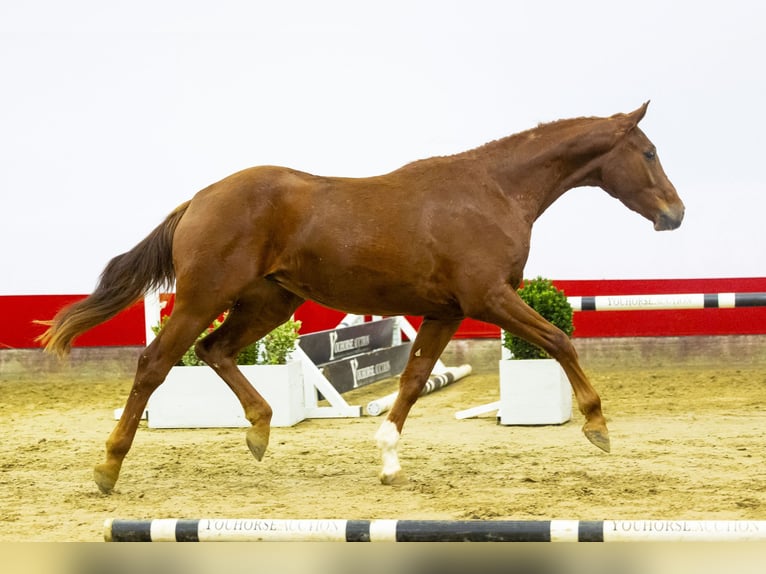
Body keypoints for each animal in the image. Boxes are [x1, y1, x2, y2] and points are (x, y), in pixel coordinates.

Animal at [39, 101, 684, 492]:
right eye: (649, 152)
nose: (675, 215)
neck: (492, 192)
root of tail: (199, 197)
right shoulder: (488, 298)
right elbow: (559, 340)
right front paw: (597, 426)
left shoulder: (447, 311)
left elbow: (414, 379)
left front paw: (389, 458)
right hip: (202, 298)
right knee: (155, 362)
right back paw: (108, 466)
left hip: (270, 303)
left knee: (215, 350)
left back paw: (259, 431)